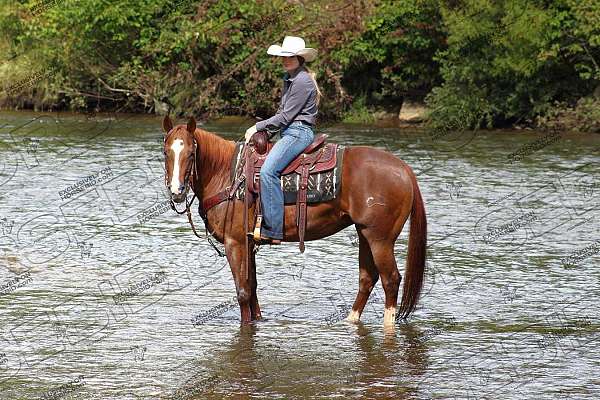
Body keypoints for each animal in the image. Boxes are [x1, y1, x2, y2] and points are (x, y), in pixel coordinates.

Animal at [162, 115, 426, 328]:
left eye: (191, 153)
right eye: (166, 152)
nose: (177, 191)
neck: (226, 173)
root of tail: (404, 169)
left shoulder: (234, 242)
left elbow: (243, 293)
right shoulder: (249, 243)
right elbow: (253, 288)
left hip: (380, 239)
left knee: (391, 279)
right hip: (364, 234)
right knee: (367, 278)